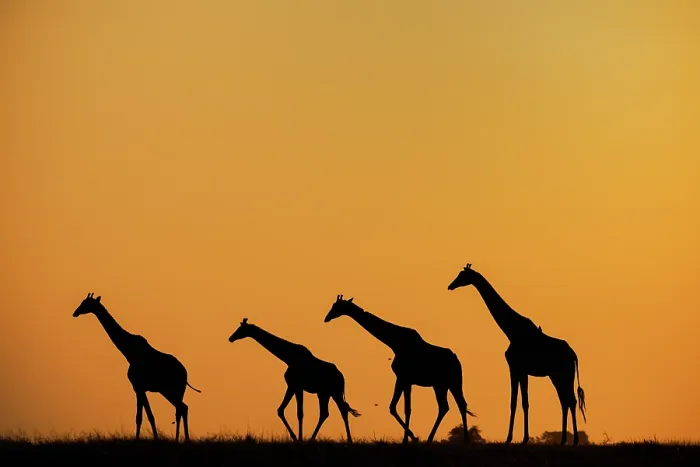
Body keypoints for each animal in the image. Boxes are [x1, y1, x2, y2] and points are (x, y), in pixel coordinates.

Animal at [72, 293, 201, 442]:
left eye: (86, 303)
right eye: (82, 302)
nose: (75, 313)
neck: (129, 352)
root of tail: (185, 374)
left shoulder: (139, 386)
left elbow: (147, 416)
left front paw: (152, 438)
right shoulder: (138, 388)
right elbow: (141, 417)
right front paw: (142, 438)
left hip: (172, 389)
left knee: (181, 408)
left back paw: (182, 439)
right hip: (170, 391)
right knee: (182, 408)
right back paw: (182, 439)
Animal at [228, 318, 361, 443]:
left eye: (241, 329)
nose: (231, 338)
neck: (288, 358)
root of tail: (342, 377)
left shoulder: (296, 386)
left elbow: (298, 413)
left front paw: (298, 439)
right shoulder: (293, 386)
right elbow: (282, 410)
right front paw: (297, 438)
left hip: (334, 392)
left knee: (341, 410)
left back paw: (348, 440)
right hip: (324, 393)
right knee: (327, 412)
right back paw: (314, 439)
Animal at [324, 295, 475, 444]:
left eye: (337, 306)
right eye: (333, 305)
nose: (326, 318)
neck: (394, 343)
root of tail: (456, 360)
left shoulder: (402, 378)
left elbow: (394, 407)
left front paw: (412, 438)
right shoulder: (406, 380)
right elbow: (406, 409)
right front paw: (407, 439)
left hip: (452, 382)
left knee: (457, 405)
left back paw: (462, 440)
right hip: (442, 385)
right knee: (449, 406)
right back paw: (437, 439)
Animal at [447, 263, 587, 445]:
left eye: (462, 275)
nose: (450, 286)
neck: (511, 330)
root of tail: (573, 355)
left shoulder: (514, 367)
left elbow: (514, 402)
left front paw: (510, 438)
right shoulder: (522, 371)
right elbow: (524, 402)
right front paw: (523, 438)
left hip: (561, 374)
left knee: (569, 400)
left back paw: (573, 439)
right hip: (559, 375)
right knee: (567, 400)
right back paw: (565, 439)